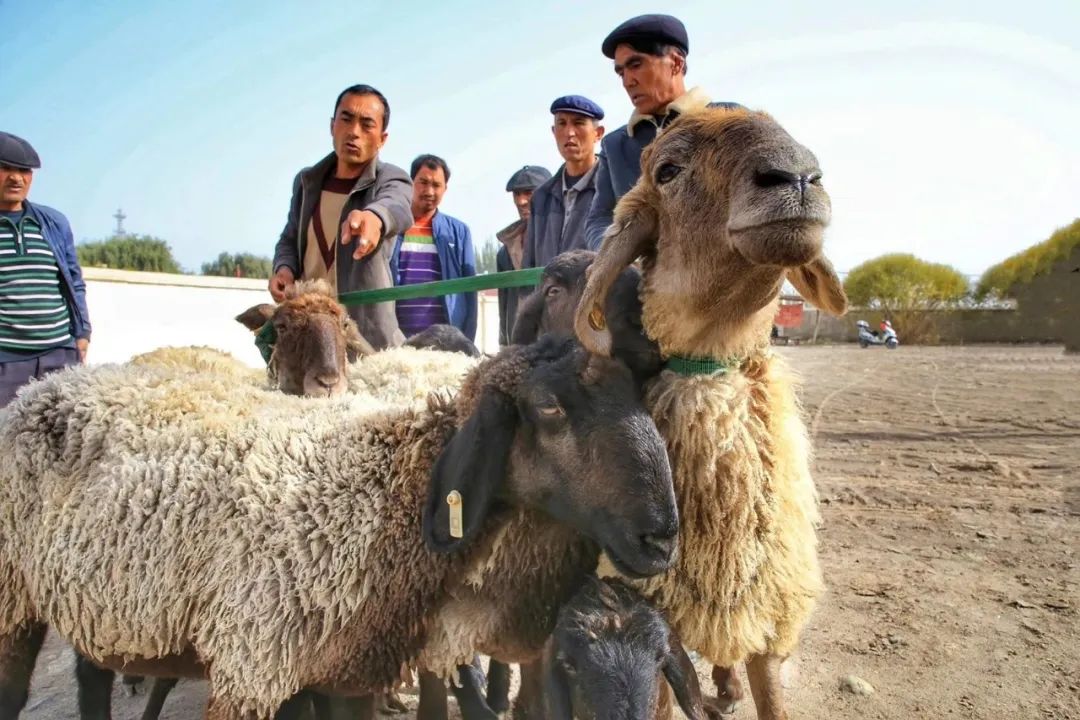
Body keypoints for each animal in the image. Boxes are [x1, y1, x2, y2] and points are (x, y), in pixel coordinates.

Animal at [0, 334, 673, 720]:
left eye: (643, 394)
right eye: (549, 407)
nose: (662, 537)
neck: (389, 491)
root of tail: (47, 383)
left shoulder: (348, 673)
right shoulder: (251, 666)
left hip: (97, 603)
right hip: (15, 600)